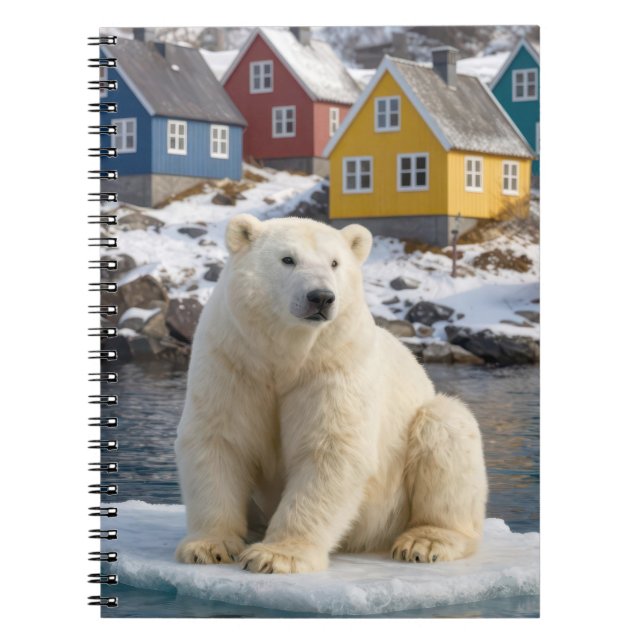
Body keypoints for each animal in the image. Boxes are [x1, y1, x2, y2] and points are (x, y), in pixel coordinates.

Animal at [175, 214, 487, 573]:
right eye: (287, 259)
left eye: (335, 263)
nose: (320, 297)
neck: (287, 353)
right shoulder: (234, 359)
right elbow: (219, 440)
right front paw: (208, 546)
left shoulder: (333, 363)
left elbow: (330, 447)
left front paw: (276, 556)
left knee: (445, 429)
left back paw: (425, 541)